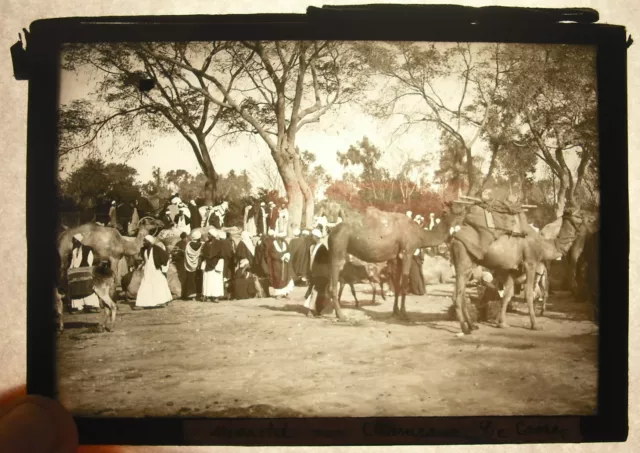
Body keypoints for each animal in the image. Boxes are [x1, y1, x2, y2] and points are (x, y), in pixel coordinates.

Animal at [328, 203, 462, 320]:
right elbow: (404, 283)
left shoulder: (397, 257)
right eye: (445, 211)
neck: (420, 234)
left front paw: (395, 312)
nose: (461, 211)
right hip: (338, 248)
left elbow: (397, 285)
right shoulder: (407, 253)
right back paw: (341, 315)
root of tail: (331, 233)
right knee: (334, 282)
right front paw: (404, 314)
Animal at [450, 203, 584, 334]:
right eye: (579, 216)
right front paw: (535, 325)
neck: (542, 245)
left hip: (467, 265)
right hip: (463, 259)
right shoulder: (530, 262)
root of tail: (454, 239)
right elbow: (529, 293)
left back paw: (472, 326)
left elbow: (507, 295)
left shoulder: (510, 269)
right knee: (458, 295)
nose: (585, 219)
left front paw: (502, 324)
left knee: (460, 294)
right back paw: (465, 328)